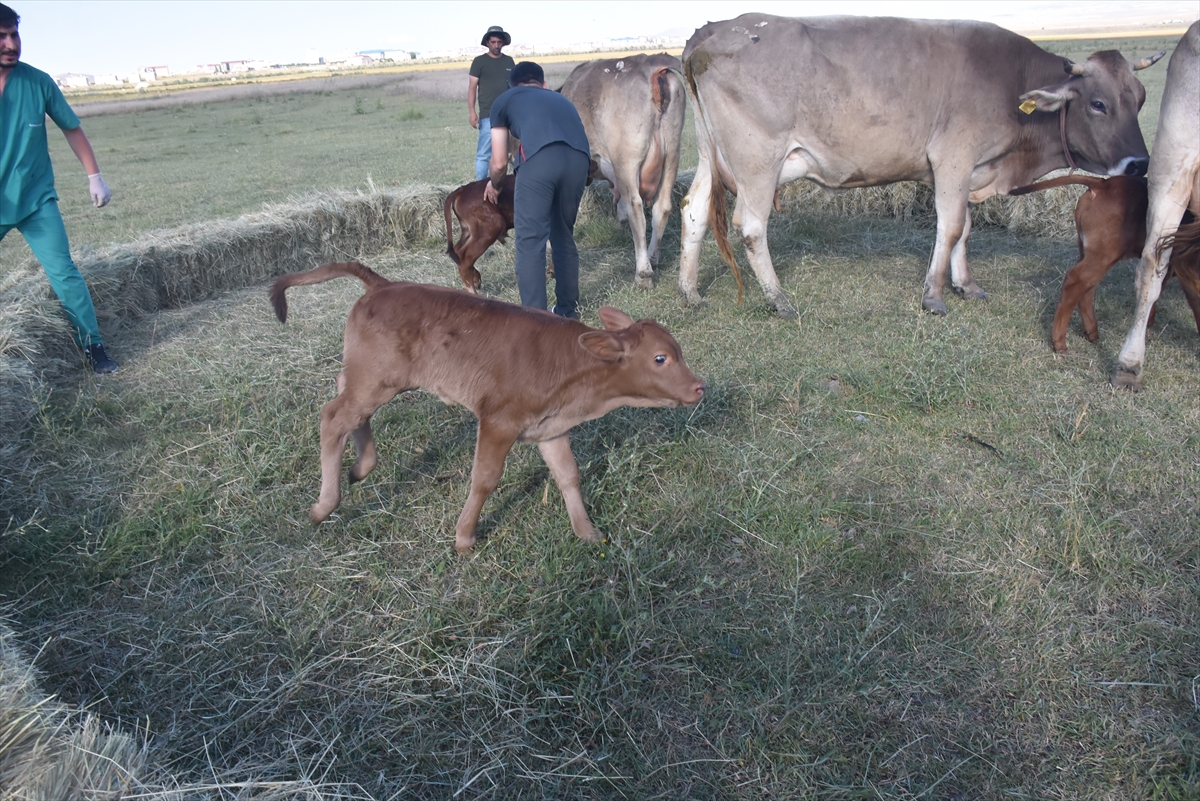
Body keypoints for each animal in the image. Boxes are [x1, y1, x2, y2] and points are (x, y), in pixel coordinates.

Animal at [270, 261, 700, 551]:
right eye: (661, 358)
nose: (699, 387)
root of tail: (384, 285)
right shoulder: (499, 420)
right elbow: (485, 479)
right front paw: (464, 536)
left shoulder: (550, 427)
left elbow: (568, 475)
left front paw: (586, 531)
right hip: (375, 378)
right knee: (333, 417)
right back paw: (325, 505)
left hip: (370, 377)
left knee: (345, 400)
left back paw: (361, 466)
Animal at [559, 53, 686, 291]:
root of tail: (651, 64)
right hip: (672, 153)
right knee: (662, 208)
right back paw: (652, 259)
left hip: (626, 160)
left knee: (636, 207)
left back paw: (643, 273)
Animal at [681, 12, 1156, 316]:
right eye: (1098, 104)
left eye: (1141, 98)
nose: (1140, 163)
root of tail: (713, 29)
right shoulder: (953, 158)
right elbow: (950, 226)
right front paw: (934, 295)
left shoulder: (969, 169)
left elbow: (964, 226)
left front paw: (966, 284)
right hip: (757, 159)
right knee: (751, 225)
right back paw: (777, 299)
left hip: (710, 154)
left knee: (693, 210)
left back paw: (689, 291)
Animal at [1012, 176, 1200, 352]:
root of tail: (1102, 183)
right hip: (1104, 254)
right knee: (1074, 281)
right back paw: (1059, 341)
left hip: (1089, 251)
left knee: (1086, 288)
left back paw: (1091, 332)